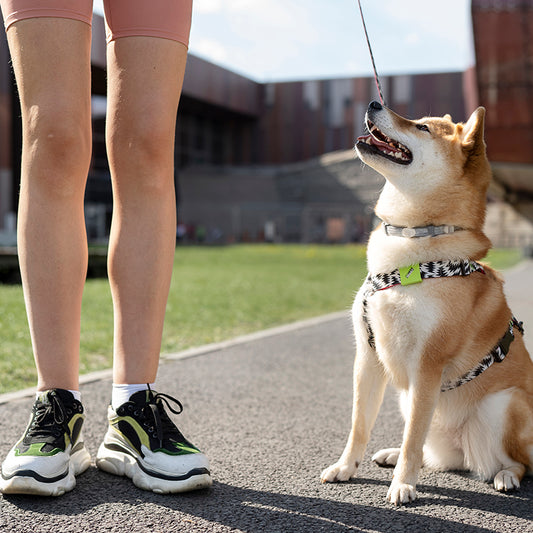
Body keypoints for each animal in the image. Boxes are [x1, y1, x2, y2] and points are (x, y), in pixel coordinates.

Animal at [320, 100, 532, 502]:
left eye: (422, 128)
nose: (374, 102)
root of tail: (464, 447)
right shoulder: (368, 355)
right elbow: (359, 425)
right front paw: (345, 467)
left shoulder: (428, 364)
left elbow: (413, 439)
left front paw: (402, 484)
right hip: (408, 400)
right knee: (436, 455)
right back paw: (391, 453)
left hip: (503, 404)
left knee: (518, 463)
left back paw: (505, 476)